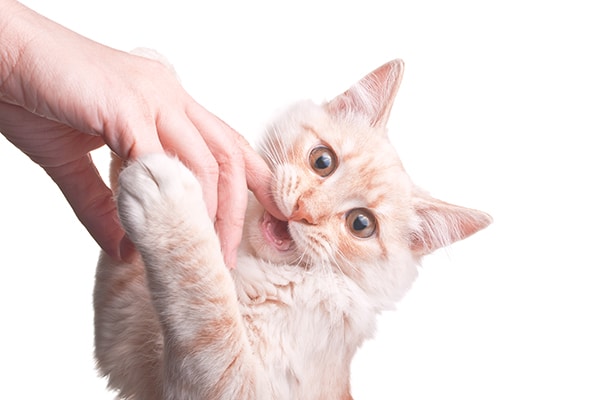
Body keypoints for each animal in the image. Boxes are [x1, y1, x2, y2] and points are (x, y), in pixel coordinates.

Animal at [94, 57, 492, 400]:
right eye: (323, 161)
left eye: (361, 224)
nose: (303, 211)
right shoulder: (123, 330)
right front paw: (151, 77)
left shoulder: (234, 384)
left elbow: (207, 304)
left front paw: (173, 204)